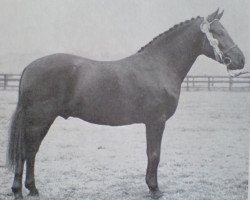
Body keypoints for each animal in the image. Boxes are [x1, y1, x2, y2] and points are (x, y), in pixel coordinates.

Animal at [5, 8, 244, 199]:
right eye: (218, 33)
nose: (240, 60)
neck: (159, 66)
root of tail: (29, 67)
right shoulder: (156, 122)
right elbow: (154, 154)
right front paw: (155, 189)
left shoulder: (152, 122)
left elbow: (151, 154)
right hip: (38, 119)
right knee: (25, 152)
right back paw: (18, 191)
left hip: (43, 120)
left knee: (31, 151)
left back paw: (32, 189)